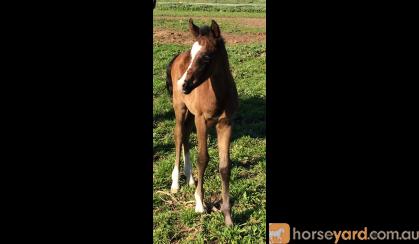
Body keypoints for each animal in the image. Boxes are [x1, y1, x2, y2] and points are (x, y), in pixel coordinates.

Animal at [167, 18, 240, 226]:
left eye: (207, 57)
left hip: (190, 114)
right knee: (178, 136)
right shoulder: (202, 121)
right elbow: (203, 158)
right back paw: (176, 183)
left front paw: (228, 216)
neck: (219, 95)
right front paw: (199, 203)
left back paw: (190, 178)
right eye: (192, 54)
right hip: (180, 109)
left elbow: (225, 166)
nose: (182, 84)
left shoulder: (226, 124)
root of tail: (177, 57)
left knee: (185, 136)